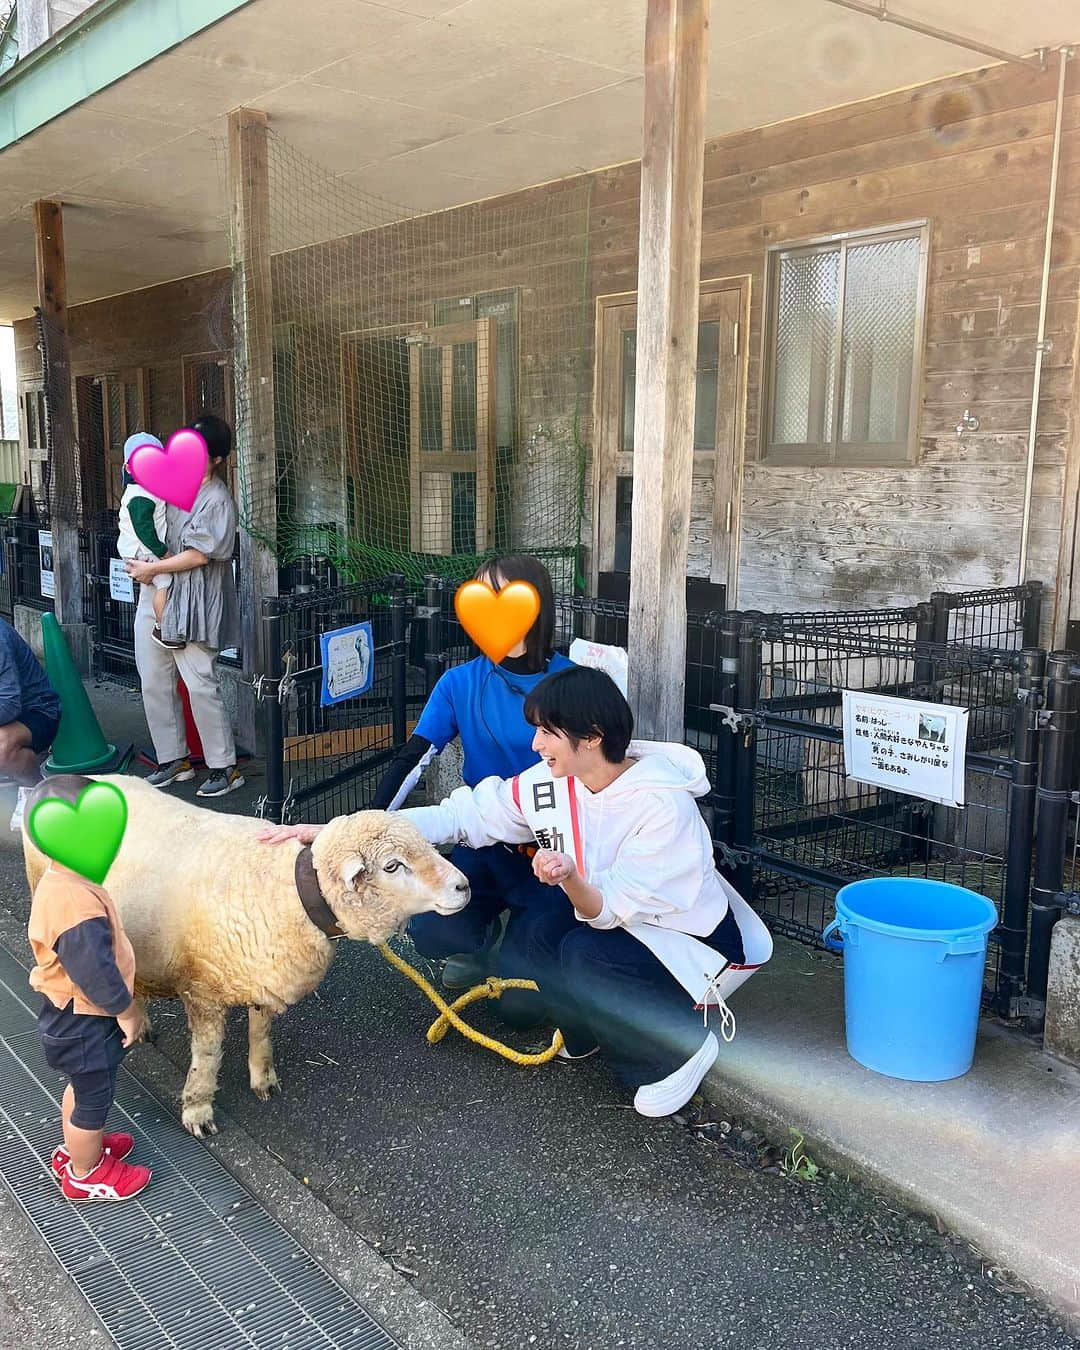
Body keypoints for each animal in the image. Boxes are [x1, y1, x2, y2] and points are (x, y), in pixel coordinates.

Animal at [23, 777, 469, 1134]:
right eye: (393, 866)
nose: (464, 886)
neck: (290, 890)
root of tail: (51, 782)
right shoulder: (201, 989)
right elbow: (206, 1057)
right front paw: (198, 1109)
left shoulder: (263, 976)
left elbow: (261, 1033)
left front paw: (263, 1079)